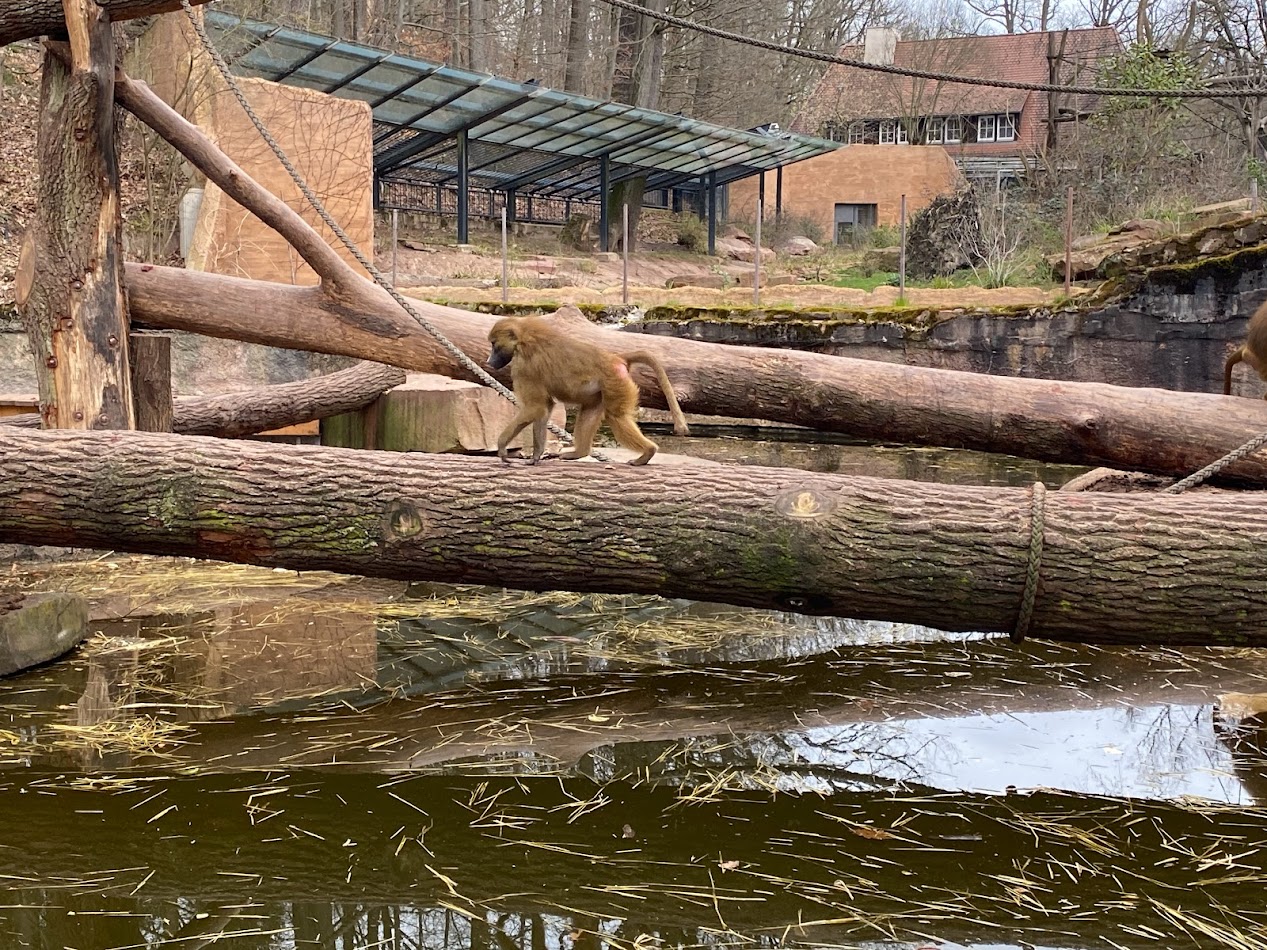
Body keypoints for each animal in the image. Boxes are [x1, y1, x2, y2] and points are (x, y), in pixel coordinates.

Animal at [486, 316, 689, 465]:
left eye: (494, 344)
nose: (489, 361)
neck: (523, 336)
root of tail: (616, 358)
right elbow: (544, 408)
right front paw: (536, 456)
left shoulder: (524, 367)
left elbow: (535, 407)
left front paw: (502, 448)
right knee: (591, 411)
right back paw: (579, 453)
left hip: (615, 383)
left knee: (616, 417)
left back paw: (647, 452)